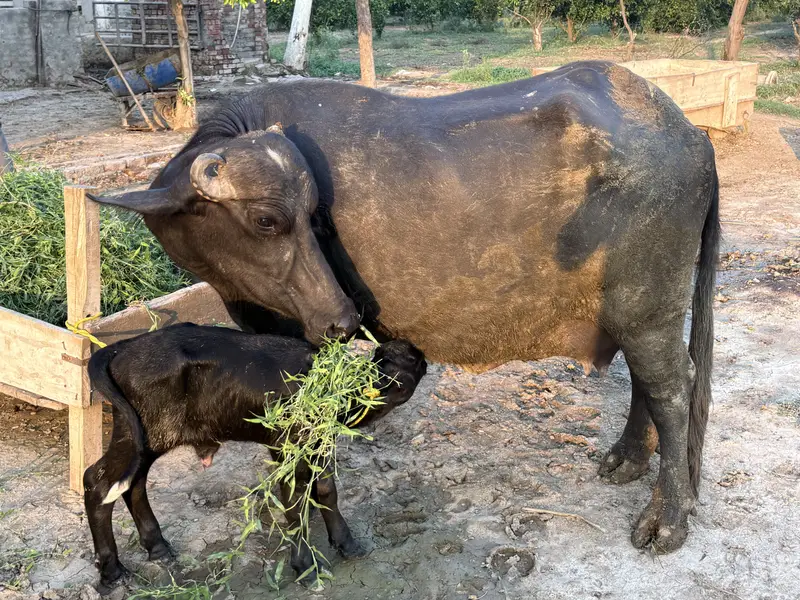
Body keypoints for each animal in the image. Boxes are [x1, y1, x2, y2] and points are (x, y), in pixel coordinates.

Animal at [82, 323, 427, 586]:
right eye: (393, 365)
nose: (420, 353)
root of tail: (121, 349)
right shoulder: (285, 451)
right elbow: (295, 505)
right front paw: (305, 567)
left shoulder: (319, 445)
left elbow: (327, 491)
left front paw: (347, 544)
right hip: (139, 435)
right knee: (96, 483)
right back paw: (112, 572)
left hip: (144, 440)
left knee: (133, 484)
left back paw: (157, 547)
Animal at [89, 60, 720, 554]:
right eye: (271, 219)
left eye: (302, 216)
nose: (343, 319)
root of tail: (688, 133)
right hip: (639, 312)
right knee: (646, 382)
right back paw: (628, 460)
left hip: (647, 305)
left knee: (671, 389)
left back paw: (667, 519)